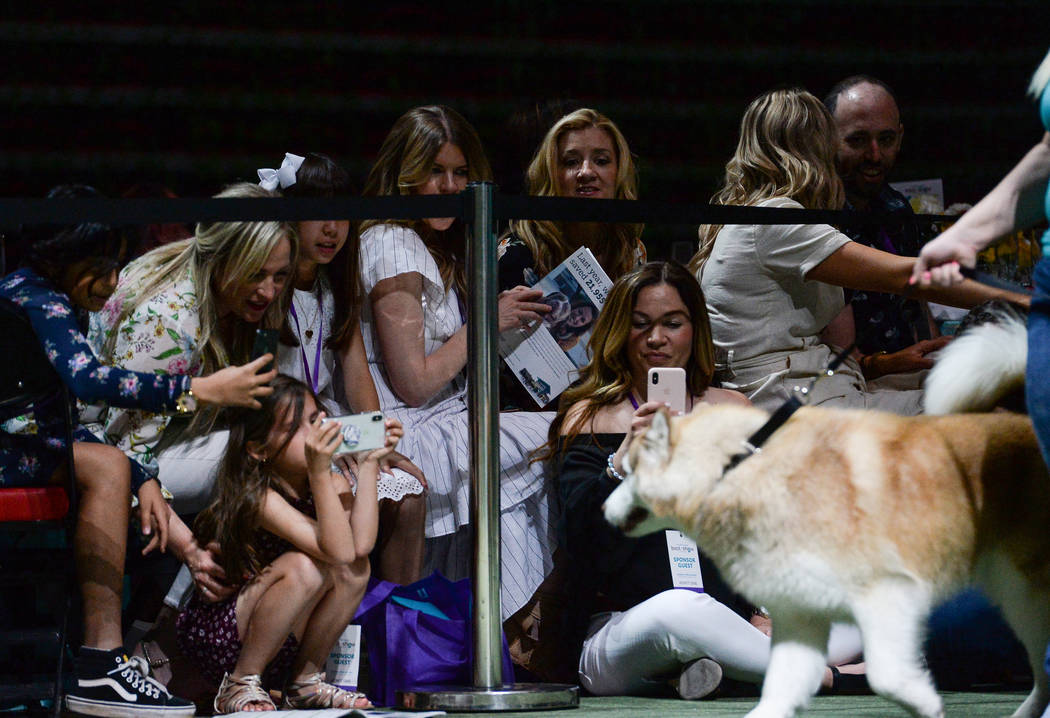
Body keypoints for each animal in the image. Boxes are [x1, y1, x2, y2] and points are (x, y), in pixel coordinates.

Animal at [604, 400, 1050, 713]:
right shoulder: (800, 617)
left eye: (629, 470)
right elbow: (776, 696)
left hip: (1021, 600)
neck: (737, 469)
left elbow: (888, 676)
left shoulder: (886, 595)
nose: (603, 509)